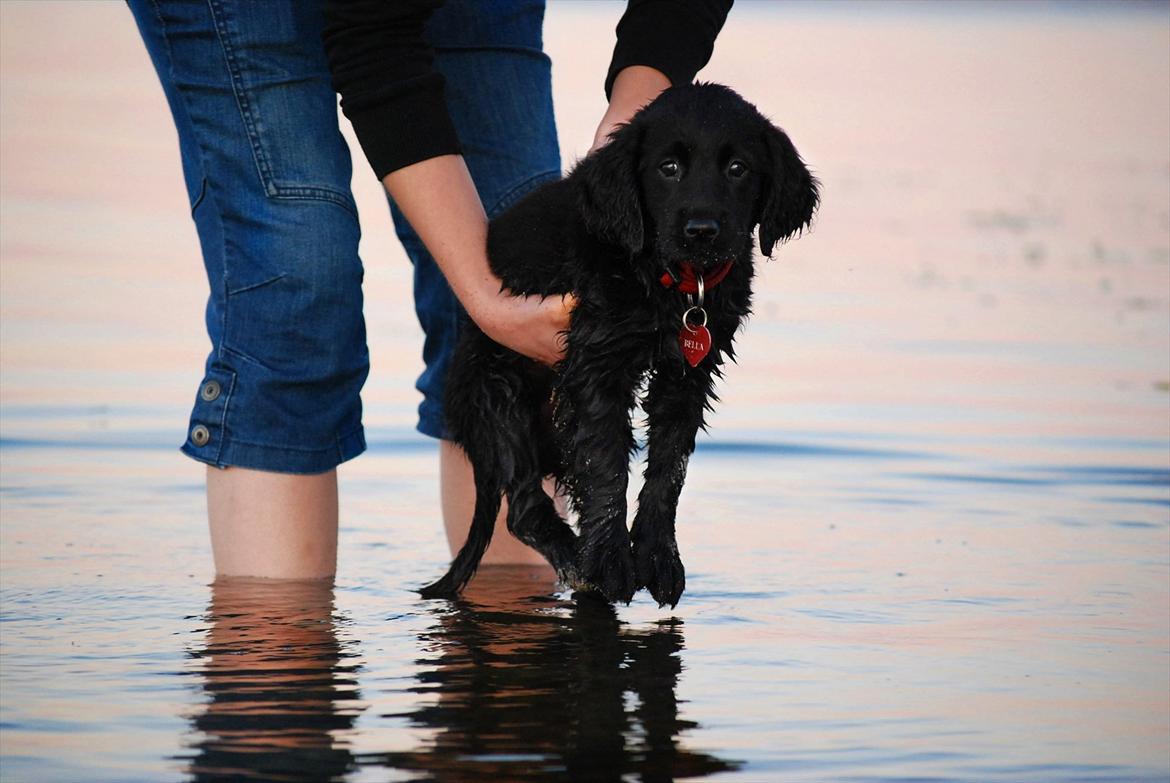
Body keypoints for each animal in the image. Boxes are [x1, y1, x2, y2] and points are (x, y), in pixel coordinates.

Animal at [425, 84, 819, 603]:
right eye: (668, 168)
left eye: (738, 168)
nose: (702, 232)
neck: (671, 282)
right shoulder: (597, 364)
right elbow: (607, 460)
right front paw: (612, 561)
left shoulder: (689, 372)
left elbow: (669, 464)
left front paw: (657, 555)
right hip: (500, 392)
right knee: (526, 508)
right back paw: (580, 563)